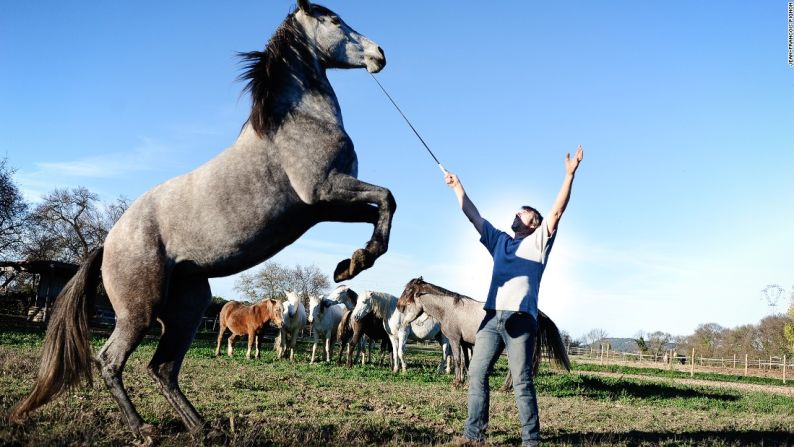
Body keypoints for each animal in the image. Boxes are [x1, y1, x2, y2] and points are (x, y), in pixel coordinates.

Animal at [10, 1, 394, 442]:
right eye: (332, 19)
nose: (379, 54)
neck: (298, 122)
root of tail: (109, 244)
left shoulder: (327, 206)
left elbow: (380, 208)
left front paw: (350, 264)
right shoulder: (326, 191)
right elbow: (387, 197)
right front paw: (357, 261)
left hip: (188, 310)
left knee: (162, 368)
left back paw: (204, 429)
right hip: (139, 313)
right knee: (110, 361)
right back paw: (144, 430)